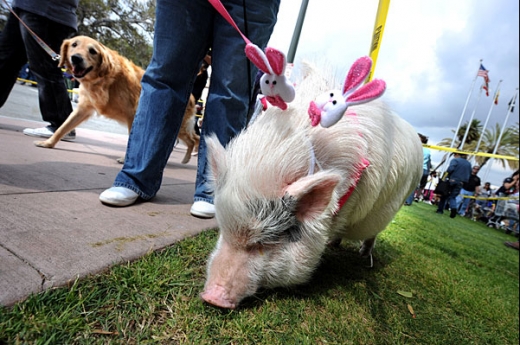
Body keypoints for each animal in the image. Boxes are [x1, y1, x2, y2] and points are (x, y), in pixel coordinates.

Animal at [33, 35, 199, 165]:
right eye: (74, 45)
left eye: (92, 51)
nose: (76, 58)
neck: (103, 78)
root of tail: (191, 96)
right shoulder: (83, 110)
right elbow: (62, 128)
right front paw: (48, 143)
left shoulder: (133, 115)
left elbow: (133, 142)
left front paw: (126, 160)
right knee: (194, 138)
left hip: (177, 127)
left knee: (195, 139)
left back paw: (189, 159)